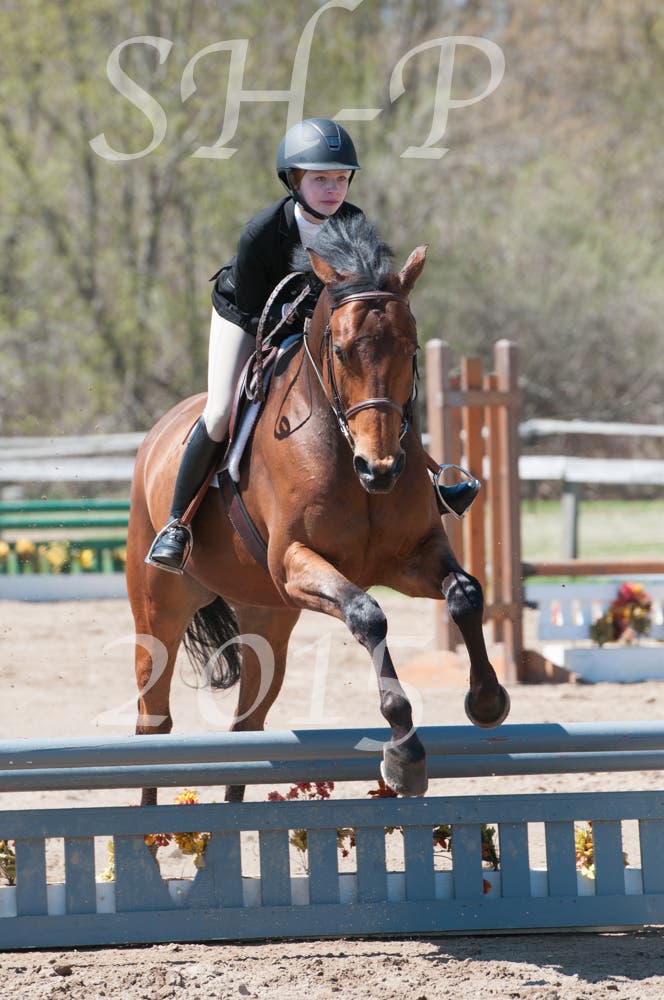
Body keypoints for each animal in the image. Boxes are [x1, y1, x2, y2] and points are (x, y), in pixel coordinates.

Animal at [126, 214, 510, 804]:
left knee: (248, 725)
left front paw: (487, 700)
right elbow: (368, 616)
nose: (381, 469)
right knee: (154, 719)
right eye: (343, 350)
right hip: (159, 611)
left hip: (267, 617)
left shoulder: (410, 558)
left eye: (411, 348)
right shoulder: (295, 562)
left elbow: (466, 595)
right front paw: (404, 752)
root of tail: (158, 434)